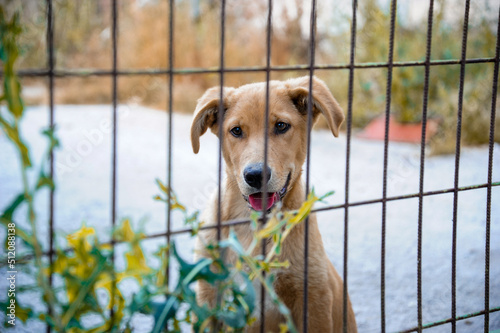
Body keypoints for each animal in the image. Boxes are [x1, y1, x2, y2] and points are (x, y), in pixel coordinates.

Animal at [189, 76, 358, 332]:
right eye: (236, 130)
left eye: (281, 126)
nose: (255, 175)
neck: (256, 227)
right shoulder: (208, 298)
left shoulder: (314, 299)